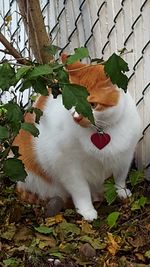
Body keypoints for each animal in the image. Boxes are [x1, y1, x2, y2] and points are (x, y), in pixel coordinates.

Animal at [13, 54, 141, 222]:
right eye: (72, 101)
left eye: (92, 105)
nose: (76, 117)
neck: (100, 131)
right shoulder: (68, 166)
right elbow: (81, 190)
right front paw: (87, 210)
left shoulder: (125, 157)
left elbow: (120, 177)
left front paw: (121, 191)